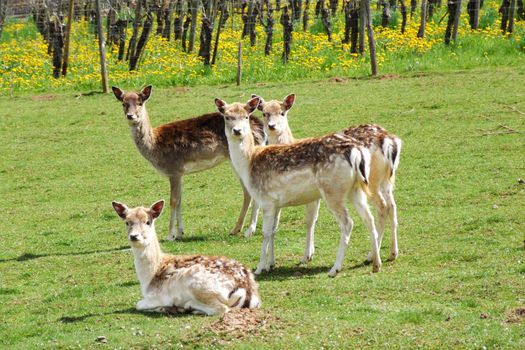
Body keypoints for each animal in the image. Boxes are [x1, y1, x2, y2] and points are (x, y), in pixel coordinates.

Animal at [112, 86, 264, 242]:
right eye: (123, 103)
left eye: (140, 102)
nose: (130, 116)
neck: (154, 146)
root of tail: (260, 126)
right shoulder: (180, 173)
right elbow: (180, 200)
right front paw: (180, 233)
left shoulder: (174, 169)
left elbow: (173, 200)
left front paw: (170, 235)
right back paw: (239, 229)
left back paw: (246, 230)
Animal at [112, 198, 260, 316]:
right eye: (127, 222)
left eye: (148, 221)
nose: (134, 236)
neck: (148, 278)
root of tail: (246, 289)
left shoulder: (157, 297)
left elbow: (139, 304)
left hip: (199, 285)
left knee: (222, 308)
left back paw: (186, 306)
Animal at [251, 93, 402, 262]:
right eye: (264, 113)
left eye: (282, 112)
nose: (272, 126)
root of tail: (389, 140)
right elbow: (308, 219)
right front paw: (308, 253)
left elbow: (309, 220)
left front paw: (306, 256)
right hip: (386, 180)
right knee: (392, 206)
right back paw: (393, 252)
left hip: (371, 181)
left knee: (382, 207)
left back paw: (371, 255)